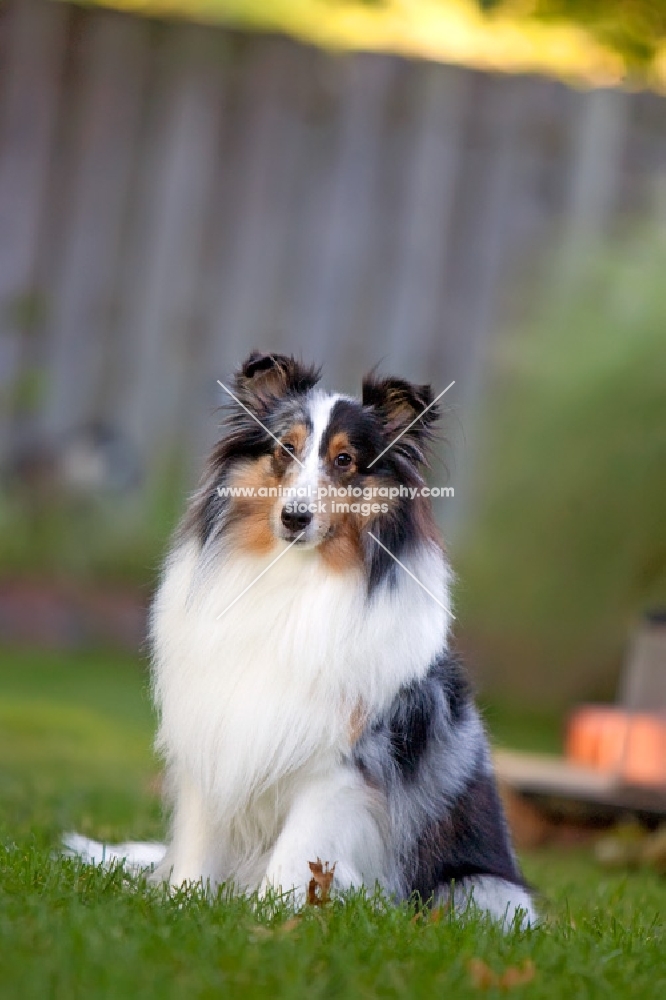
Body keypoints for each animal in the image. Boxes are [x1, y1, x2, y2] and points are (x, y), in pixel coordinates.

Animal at [148, 356, 532, 924]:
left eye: (345, 459)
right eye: (285, 449)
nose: (294, 518)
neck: (294, 581)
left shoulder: (338, 768)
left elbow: (293, 857)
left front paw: (272, 923)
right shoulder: (213, 736)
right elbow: (199, 846)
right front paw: (181, 906)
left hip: (480, 890)